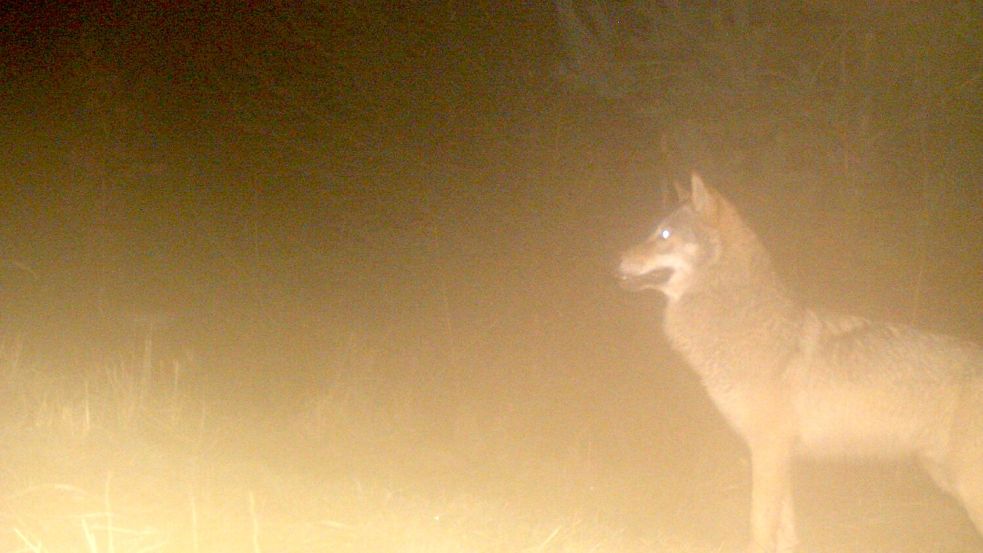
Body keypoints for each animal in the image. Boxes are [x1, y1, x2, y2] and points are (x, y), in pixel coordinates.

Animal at [620, 175, 980, 552]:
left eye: (664, 235)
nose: (616, 259)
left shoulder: (768, 451)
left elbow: (759, 525)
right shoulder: (779, 456)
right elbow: (787, 531)